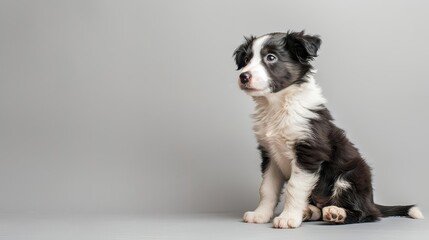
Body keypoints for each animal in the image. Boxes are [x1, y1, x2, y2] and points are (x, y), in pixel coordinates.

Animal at [232, 30, 422, 229]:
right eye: (246, 59)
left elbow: (294, 187)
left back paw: (337, 213)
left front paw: (288, 217)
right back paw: (309, 211)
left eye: (271, 57)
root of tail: (371, 200)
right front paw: (260, 215)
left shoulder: (309, 153)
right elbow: (267, 189)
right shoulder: (270, 154)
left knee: (367, 213)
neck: (277, 106)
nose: (243, 76)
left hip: (351, 176)